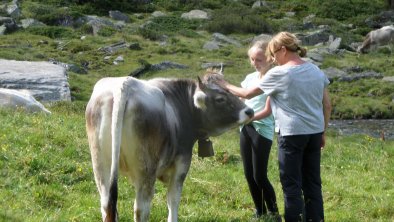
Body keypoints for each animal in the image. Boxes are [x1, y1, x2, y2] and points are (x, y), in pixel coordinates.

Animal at [84, 72, 254, 220]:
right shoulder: (182, 165)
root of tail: (125, 84)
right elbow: (173, 201)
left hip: (101, 166)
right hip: (146, 170)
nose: (249, 111)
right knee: (141, 209)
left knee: (107, 206)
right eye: (220, 99)